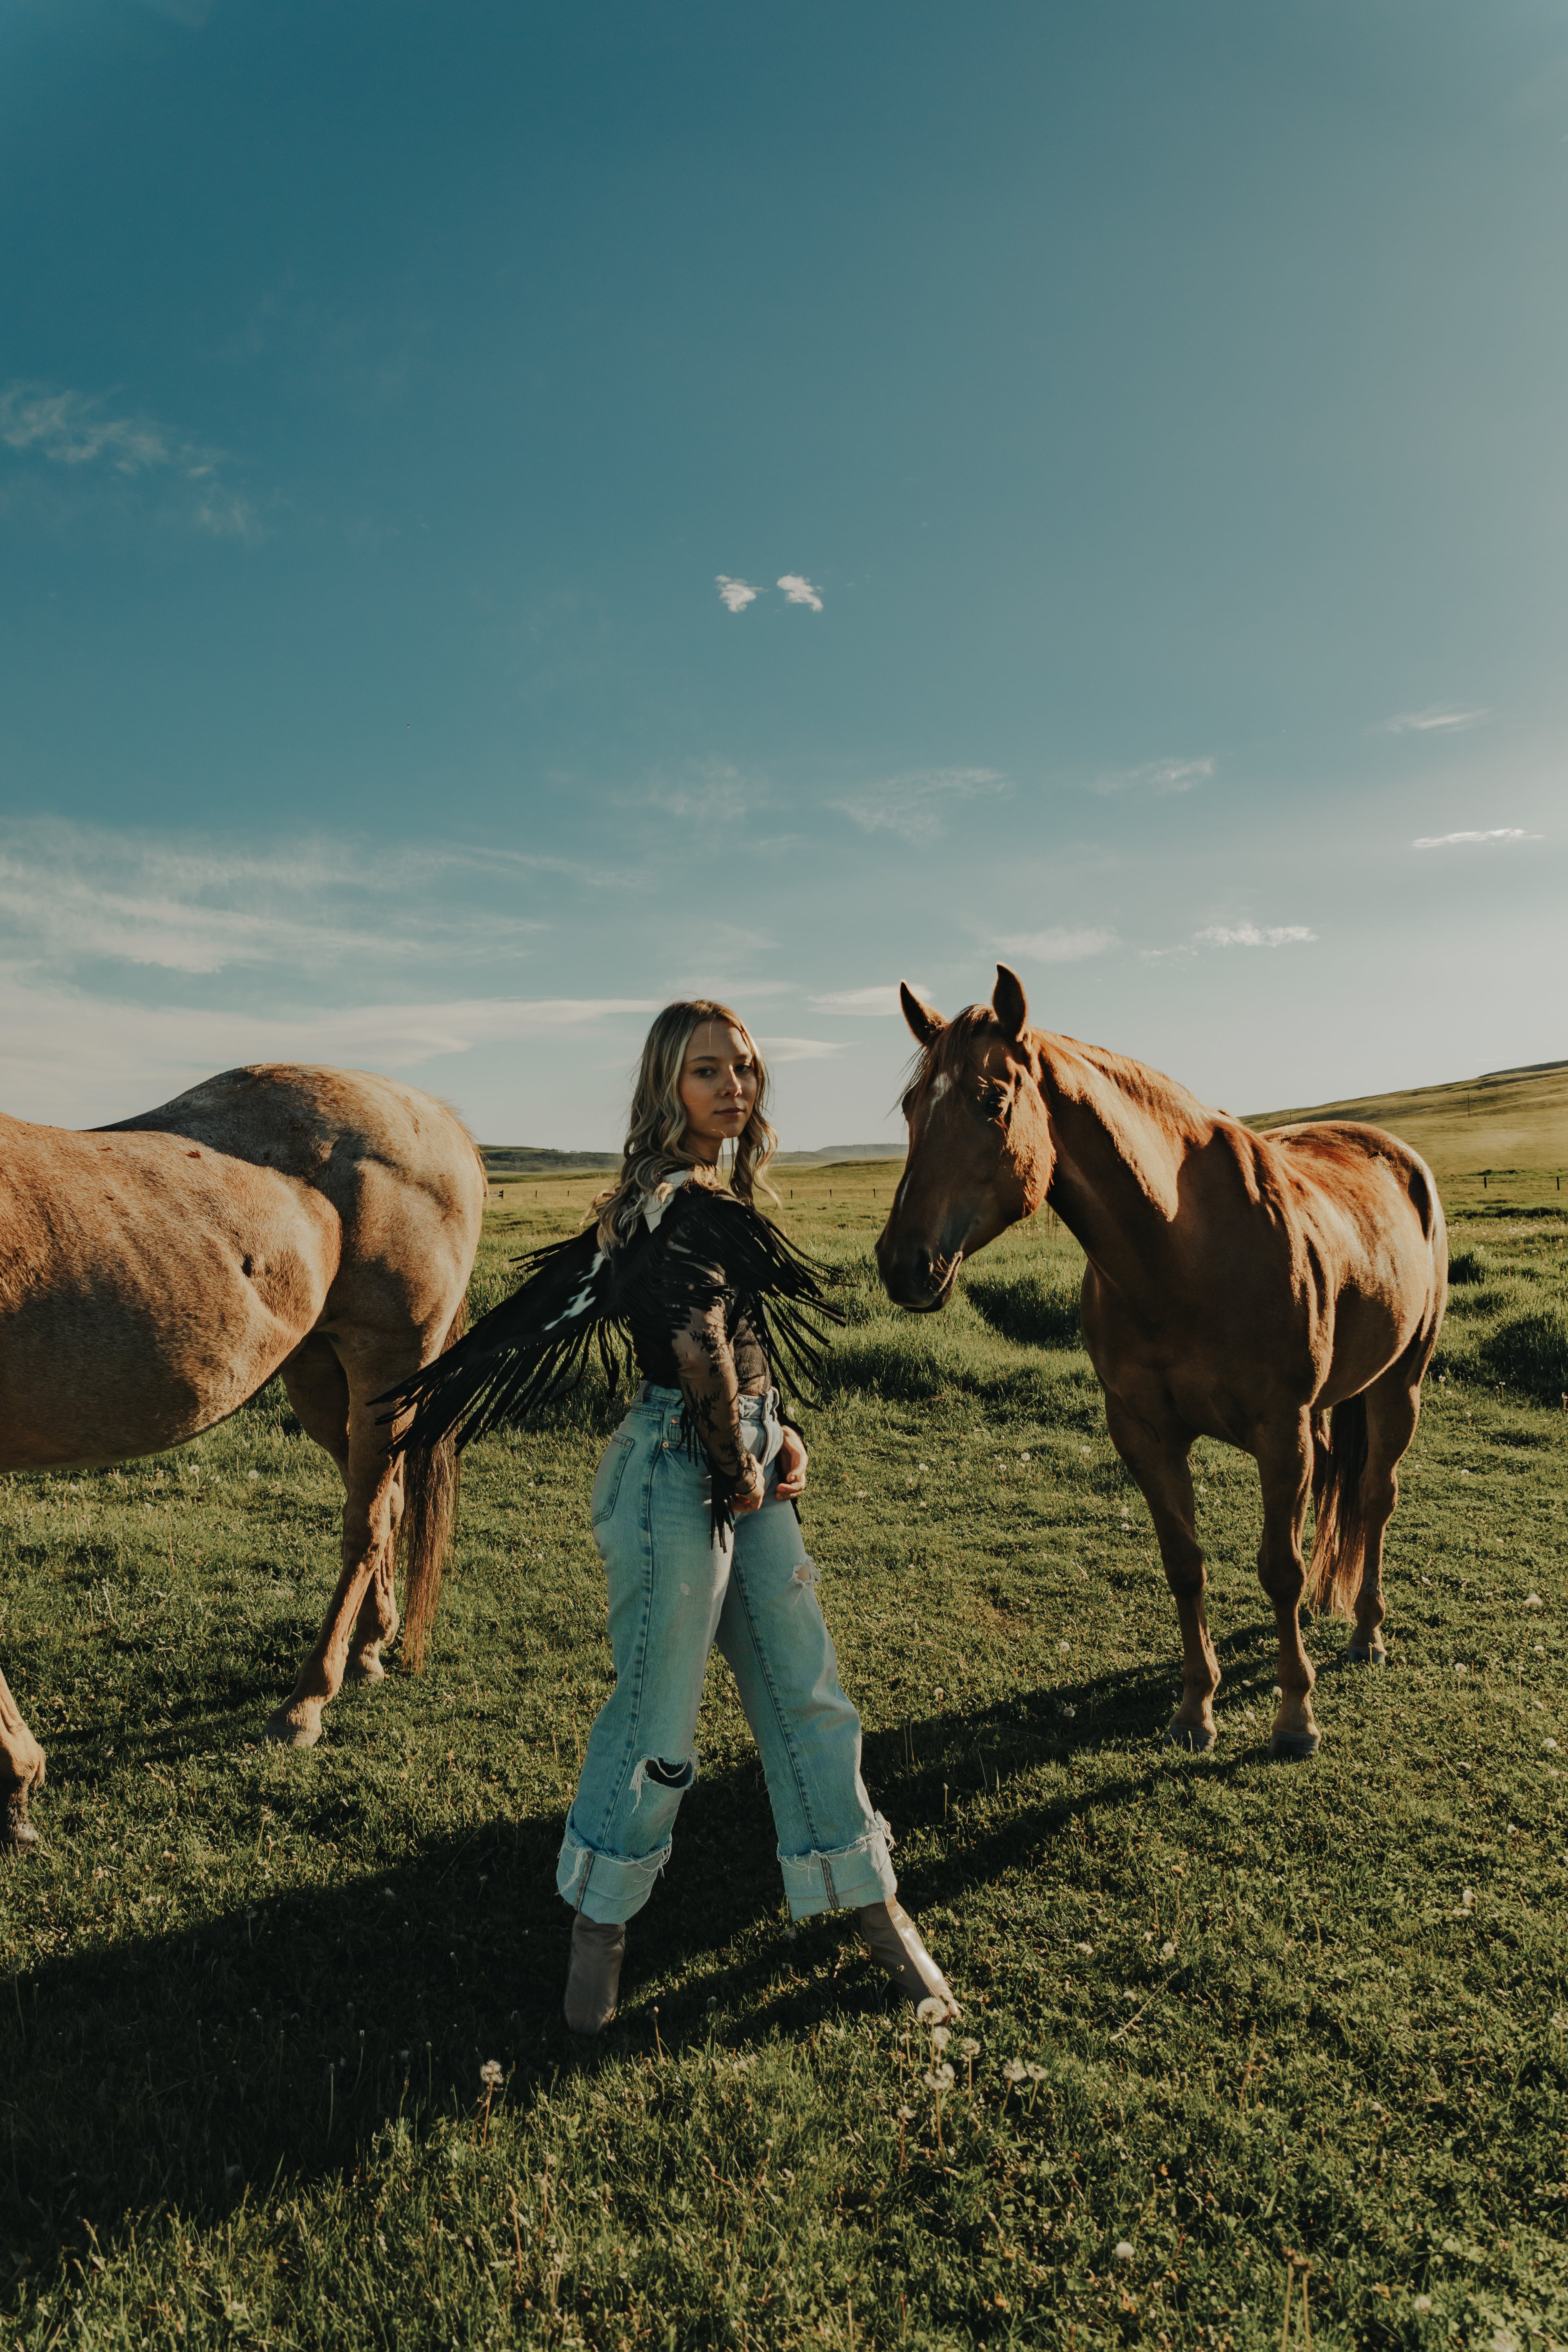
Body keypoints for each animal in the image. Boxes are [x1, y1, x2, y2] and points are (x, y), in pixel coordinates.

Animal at [0, 1064, 486, 1848]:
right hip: (322, 1377)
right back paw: (369, 1649)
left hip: (388, 1365)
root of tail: (433, 1114)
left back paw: (306, 1703)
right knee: (386, 1500)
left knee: (365, 1524)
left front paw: (15, 1783)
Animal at [876, 967, 1447, 1759]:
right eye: (909, 1106)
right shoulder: (1146, 1435)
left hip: (1399, 1387)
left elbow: (1280, 1569)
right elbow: (1185, 1565)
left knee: (1375, 1498)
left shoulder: (1280, 1432)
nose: (903, 1265)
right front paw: (1195, 1709)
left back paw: (1367, 1634)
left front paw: (1295, 1717)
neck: (1181, 1250)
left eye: (992, 1100)